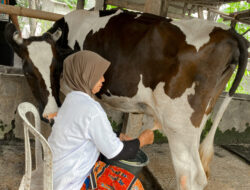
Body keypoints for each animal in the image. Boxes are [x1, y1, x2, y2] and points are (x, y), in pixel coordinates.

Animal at [4, 9, 249, 190]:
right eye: (28, 71)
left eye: (56, 69)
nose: (50, 112)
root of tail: (228, 33)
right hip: (202, 115)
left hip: (179, 123)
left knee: (190, 175)